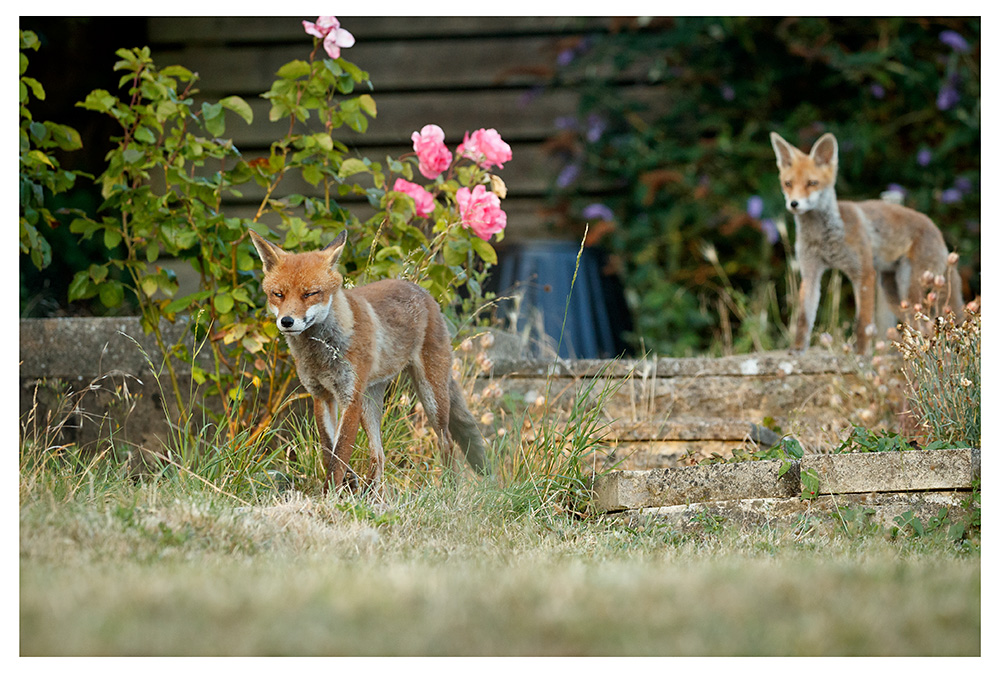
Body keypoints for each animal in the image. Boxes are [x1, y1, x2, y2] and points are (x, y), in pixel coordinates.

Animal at [248, 227, 489, 495]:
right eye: (278, 294)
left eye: (310, 294)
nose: (287, 321)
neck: (322, 354)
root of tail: (424, 293)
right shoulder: (322, 396)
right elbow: (328, 450)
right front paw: (345, 484)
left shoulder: (350, 399)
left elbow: (339, 455)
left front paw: (328, 496)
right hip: (370, 402)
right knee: (379, 455)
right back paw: (374, 496)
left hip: (431, 397)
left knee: (447, 443)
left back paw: (448, 489)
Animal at [769, 131, 963, 353]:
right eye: (788, 184)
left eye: (812, 183)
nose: (794, 204)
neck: (824, 239)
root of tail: (938, 232)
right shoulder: (810, 274)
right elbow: (803, 319)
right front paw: (797, 349)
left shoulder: (864, 274)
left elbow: (863, 323)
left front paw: (861, 354)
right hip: (894, 293)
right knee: (919, 326)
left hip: (911, 289)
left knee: (927, 326)